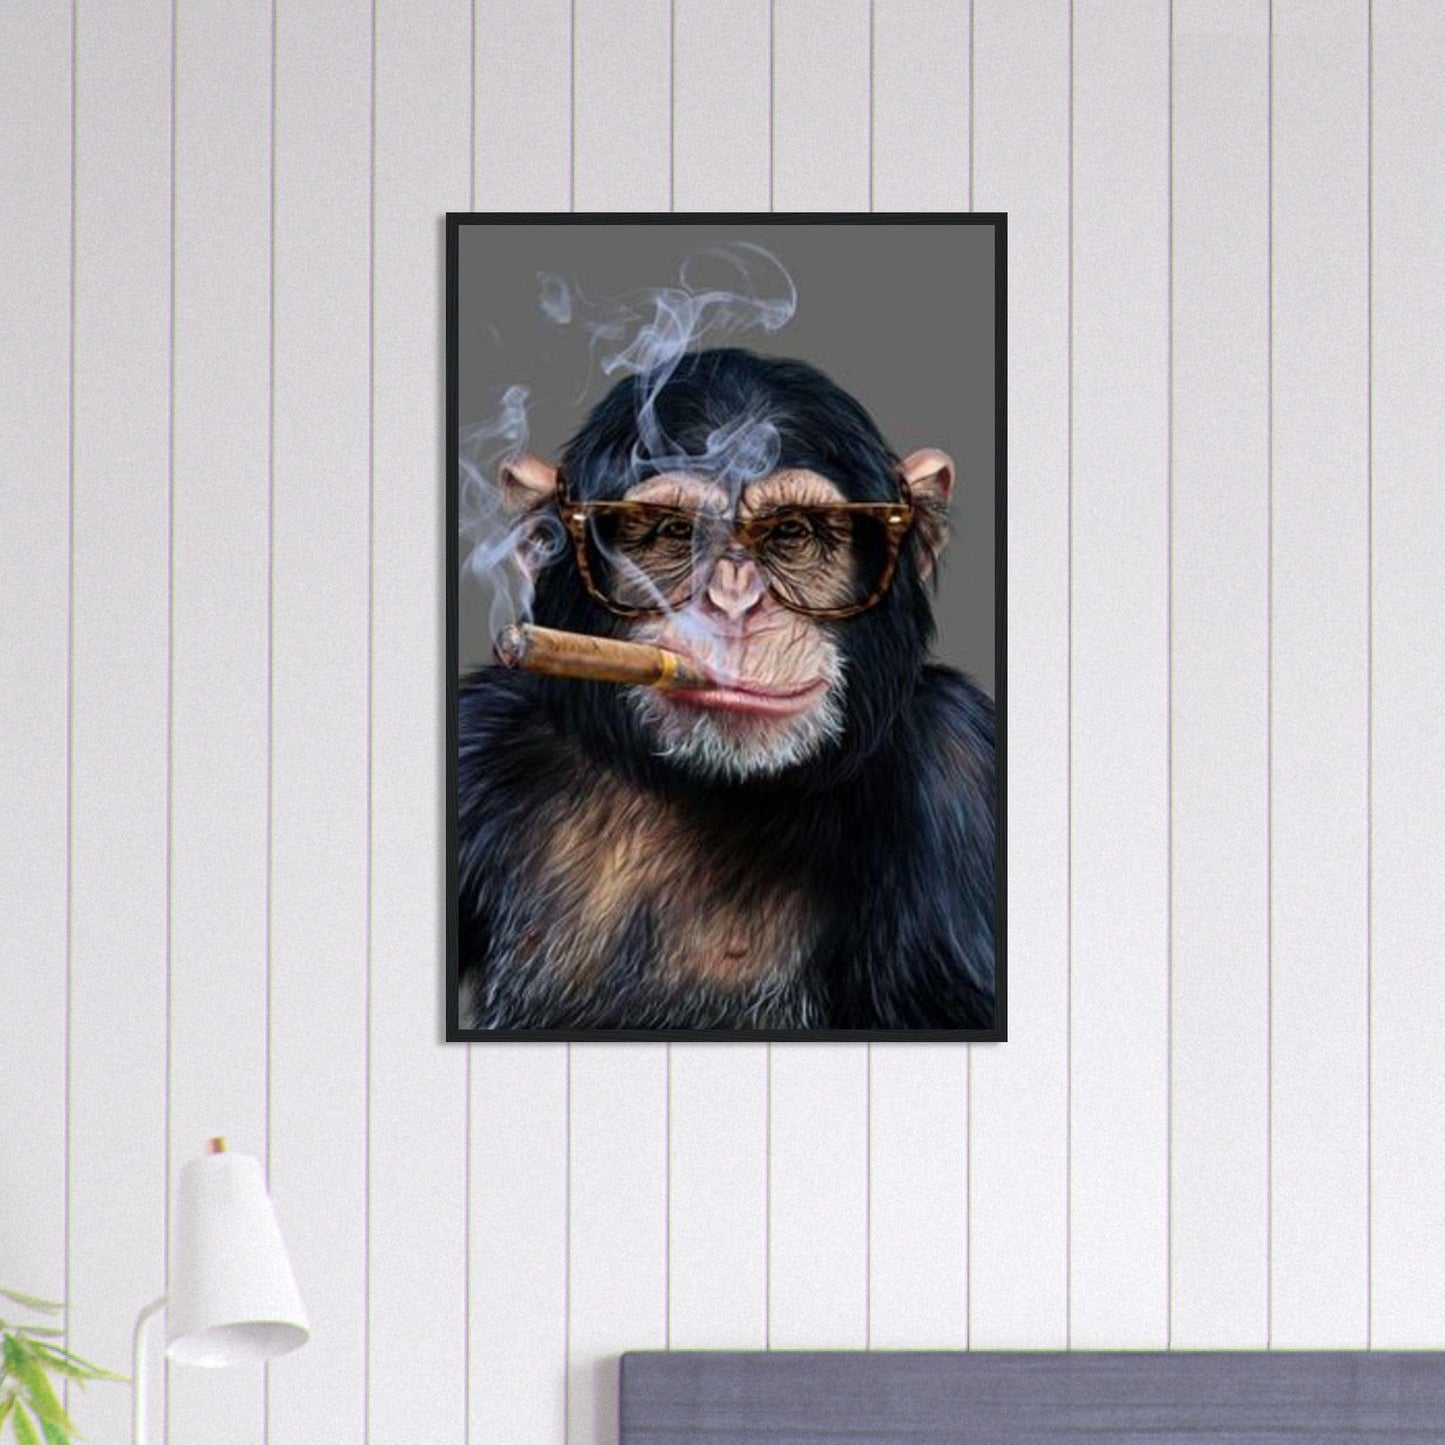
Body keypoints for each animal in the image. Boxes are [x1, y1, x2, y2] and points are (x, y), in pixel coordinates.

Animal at [455, 347, 995, 1032]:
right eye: (670, 532)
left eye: (793, 532)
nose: (734, 604)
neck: (717, 791)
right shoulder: (478, 737)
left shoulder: (960, 768)